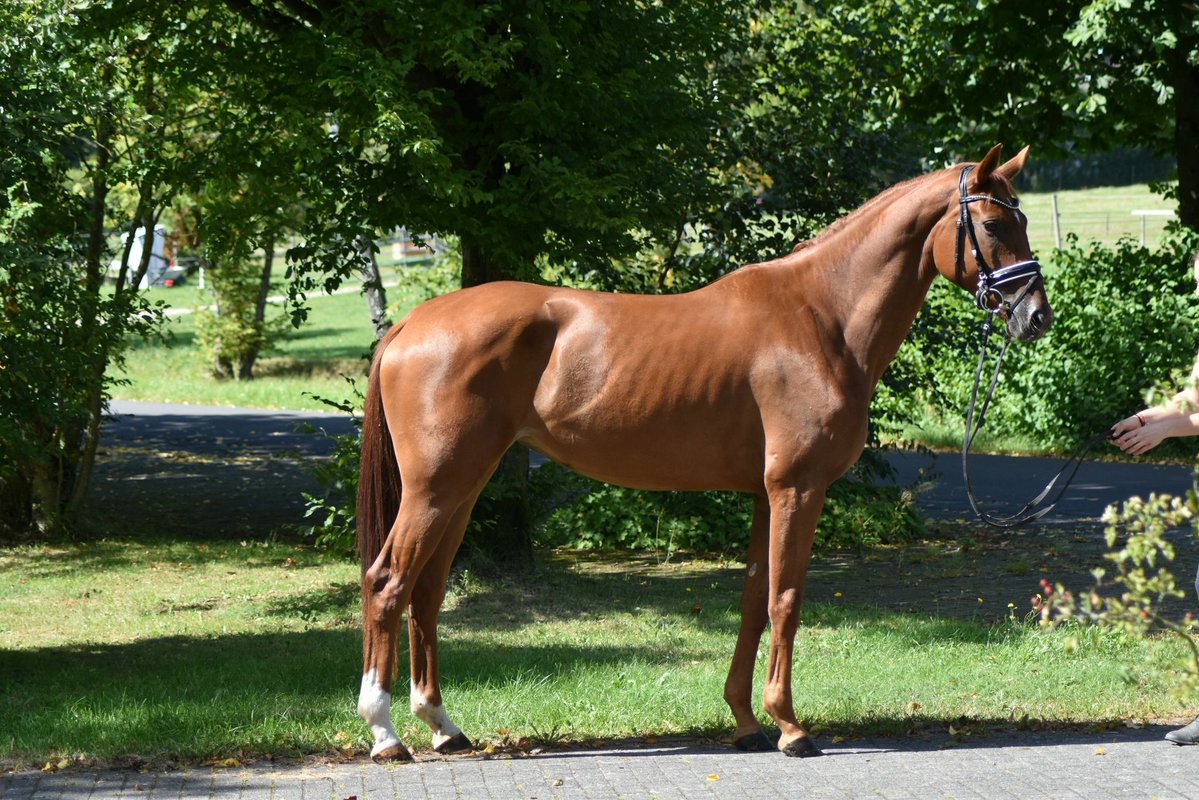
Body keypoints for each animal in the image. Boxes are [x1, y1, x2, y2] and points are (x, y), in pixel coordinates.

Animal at [355, 144, 1053, 761]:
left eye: (1023, 220)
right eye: (994, 224)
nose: (1037, 317)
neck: (822, 317)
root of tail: (412, 324)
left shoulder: (766, 497)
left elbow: (753, 599)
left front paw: (746, 721)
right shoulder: (798, 488)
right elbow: (786, 600)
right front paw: (791, 728)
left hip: (463, 489)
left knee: (427, 591)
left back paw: (443, 726)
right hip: (437, 489)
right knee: (388, 583)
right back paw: (385, 733)